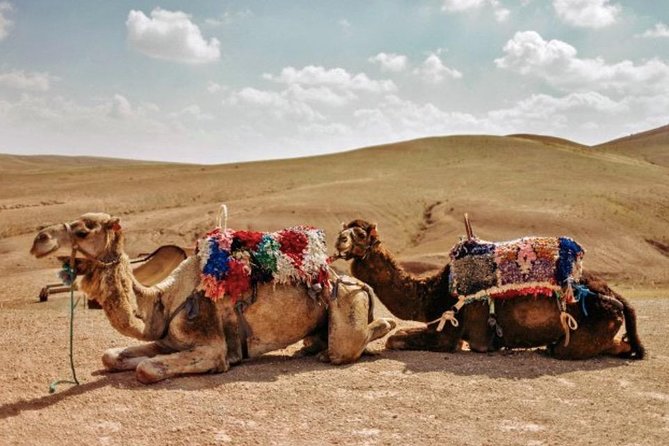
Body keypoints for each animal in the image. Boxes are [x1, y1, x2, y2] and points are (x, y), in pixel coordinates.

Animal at [30, 213, 396, 383]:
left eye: (83, 230)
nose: (39, 239)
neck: (164, 299)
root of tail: (351, 280)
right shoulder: (168, 340)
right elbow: (111, 356)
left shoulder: (210, 344)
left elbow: (147, 369)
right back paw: (311, 347)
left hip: (347, 299)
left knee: (349, 343)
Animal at [334, 219, 644, 360]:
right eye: (344, 230)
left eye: (359, 234)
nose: (339, 240)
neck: (432, 293)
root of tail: (617, 298)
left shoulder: (448, 331)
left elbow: (394, 340)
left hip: (581, 334)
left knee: (564, 348)